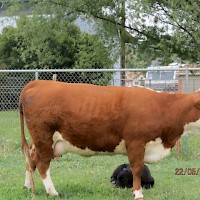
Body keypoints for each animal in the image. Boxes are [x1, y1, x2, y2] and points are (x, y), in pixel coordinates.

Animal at [19, 80, 200, 200]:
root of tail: (38, 82)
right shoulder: (136, 142)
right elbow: (137, 169)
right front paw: (138, 194)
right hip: (44, 138)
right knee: (42, 164)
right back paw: (53, 192)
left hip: (38, 142)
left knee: (30, 159)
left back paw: (28, 186)